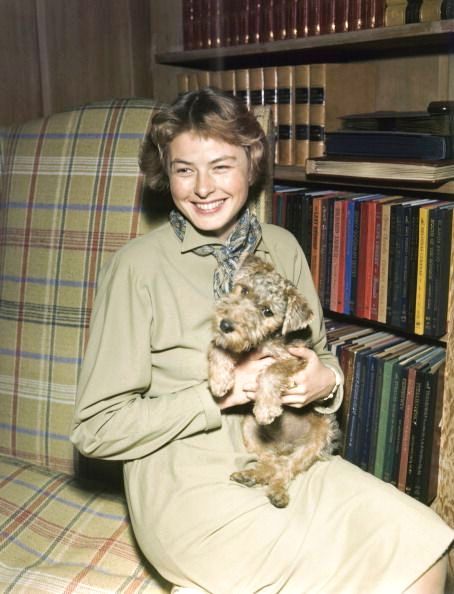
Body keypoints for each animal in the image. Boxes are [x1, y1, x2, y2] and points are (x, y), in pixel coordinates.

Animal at [207, 254, 338, 504]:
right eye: (244, 290)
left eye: (267, 311)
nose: (226, 325)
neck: (265, 340)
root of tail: (284, 446)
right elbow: (218, 348)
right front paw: (219, 381)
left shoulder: (297, 360)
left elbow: (271, 372)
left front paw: (266, 409)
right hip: (250, 430)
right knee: (272, 461)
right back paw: (251, 475)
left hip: (319, 437)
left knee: (287, 467)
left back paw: (277, 491)